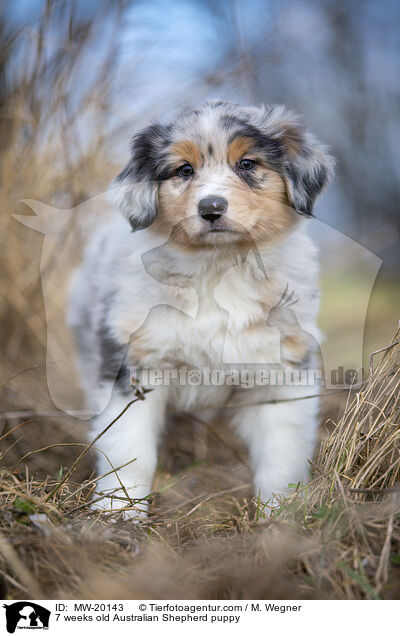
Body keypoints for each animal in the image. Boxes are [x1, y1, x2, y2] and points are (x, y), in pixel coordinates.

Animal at [69, 99, 334, 516]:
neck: (218, 268)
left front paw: (281, 515)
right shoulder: (132, 363)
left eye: (247, 164)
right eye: (184, 170)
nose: (211, 207)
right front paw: (118, 512)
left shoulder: (281, 370)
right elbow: (128, 446)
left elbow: (282, 451)